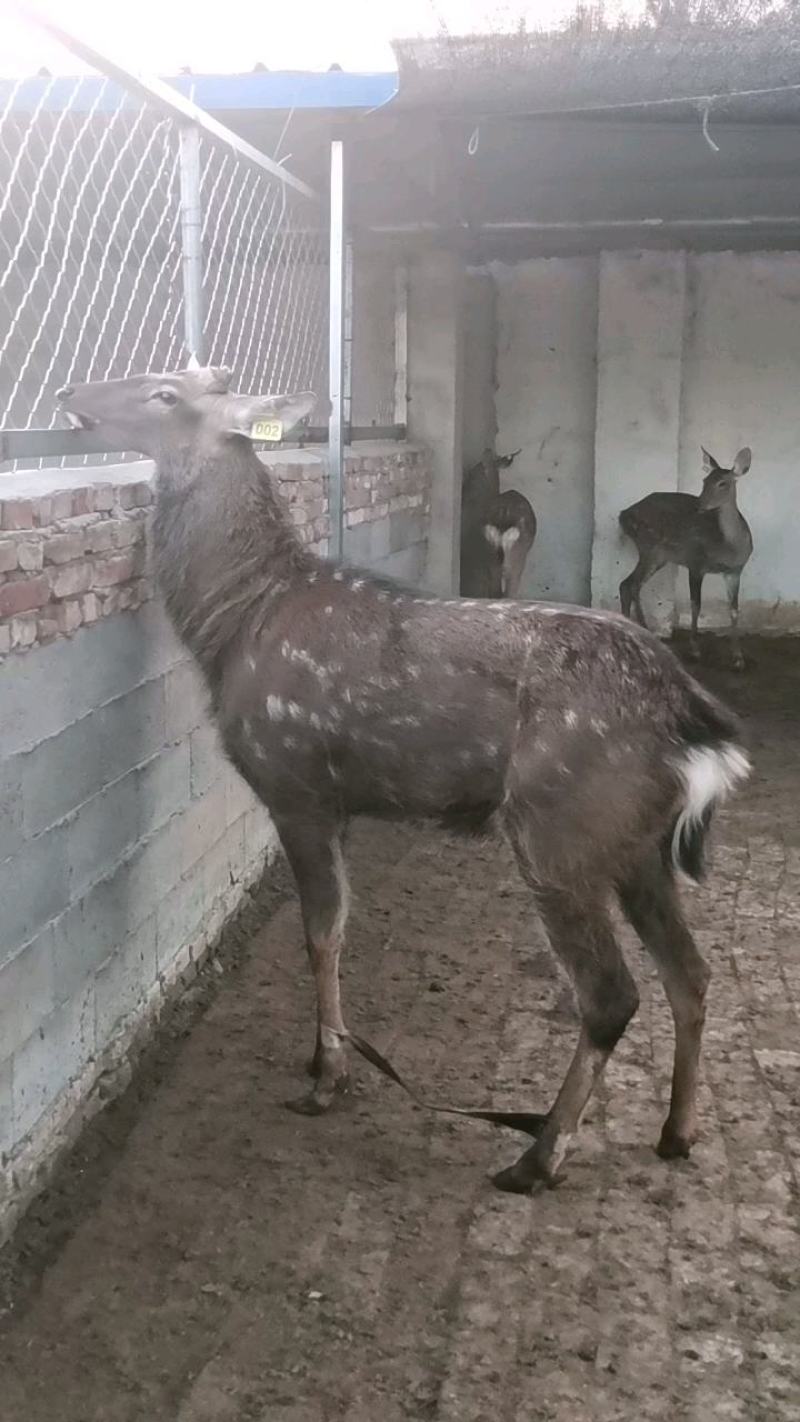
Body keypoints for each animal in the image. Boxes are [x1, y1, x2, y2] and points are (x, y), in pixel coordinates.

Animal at [619, 447, 753, 671]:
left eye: (722, 483)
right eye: (704, 480)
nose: (700, 505)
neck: (730, 547)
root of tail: (623, 515)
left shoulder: (735, 571)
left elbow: (734, 610)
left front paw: (738, 659)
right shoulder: (696, 563)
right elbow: (695, 605)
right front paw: (695, 651)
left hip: (659, 556)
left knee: (630, 584)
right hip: (649, 547)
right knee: (629, 584)